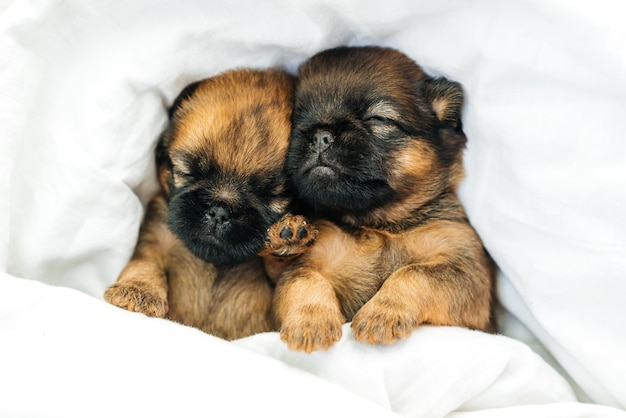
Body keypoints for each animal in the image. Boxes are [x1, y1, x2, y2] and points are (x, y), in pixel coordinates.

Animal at [105, 68, 316, 342]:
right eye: (188, 173)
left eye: (271, 196)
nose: (219, 211)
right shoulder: (153, 239)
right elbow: (144, 264)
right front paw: (136, 291)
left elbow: (282, 272)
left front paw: (286, 238)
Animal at [270, 45, 494, 352]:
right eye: (296, 120)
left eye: (378, 119)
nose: (320, 135)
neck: (377, 224)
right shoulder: (298, 268)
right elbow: (305, 281)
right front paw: (311, 321)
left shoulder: (467, 274)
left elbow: (414, 273)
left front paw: (382, 313)